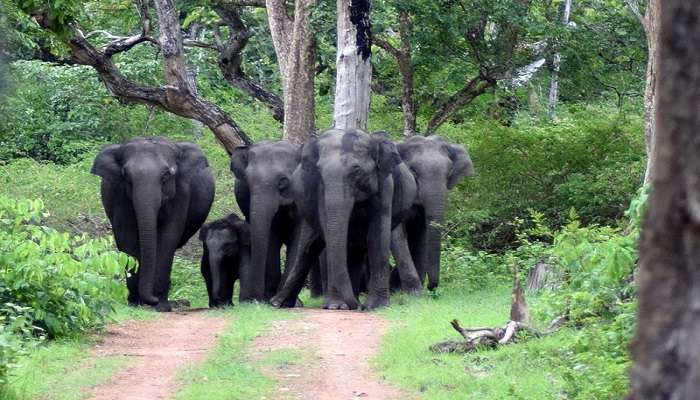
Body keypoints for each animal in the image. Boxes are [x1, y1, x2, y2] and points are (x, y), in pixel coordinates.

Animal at [91, 136, 215, 310]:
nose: (153, 299)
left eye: (166, 175)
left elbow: (168, 237)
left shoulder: (182, 193)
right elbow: (127, 236)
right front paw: (135, 303)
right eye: (126, 176)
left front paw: (161, 306)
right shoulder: (119, 194)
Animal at [230, 139, 304, 302]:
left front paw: (280, 301)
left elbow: (298, 236)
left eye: (283, 181)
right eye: (247, 182)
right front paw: (270, 299)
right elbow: (270, 236)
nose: (255, 299)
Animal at [270, 130, 416, 310]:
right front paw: (336, 306)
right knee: (307, 249)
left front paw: (375, 306)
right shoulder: (319, 190)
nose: (354, 305)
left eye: (357, 170)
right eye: (319, 172)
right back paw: (279, 303)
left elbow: (377, 236)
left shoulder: (385, 185)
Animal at [392, 134, 474, 290]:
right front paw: (414, 292)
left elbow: (421, 236)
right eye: (413, 171)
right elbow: (397, 235)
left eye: (449, 172)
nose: (431, 287)